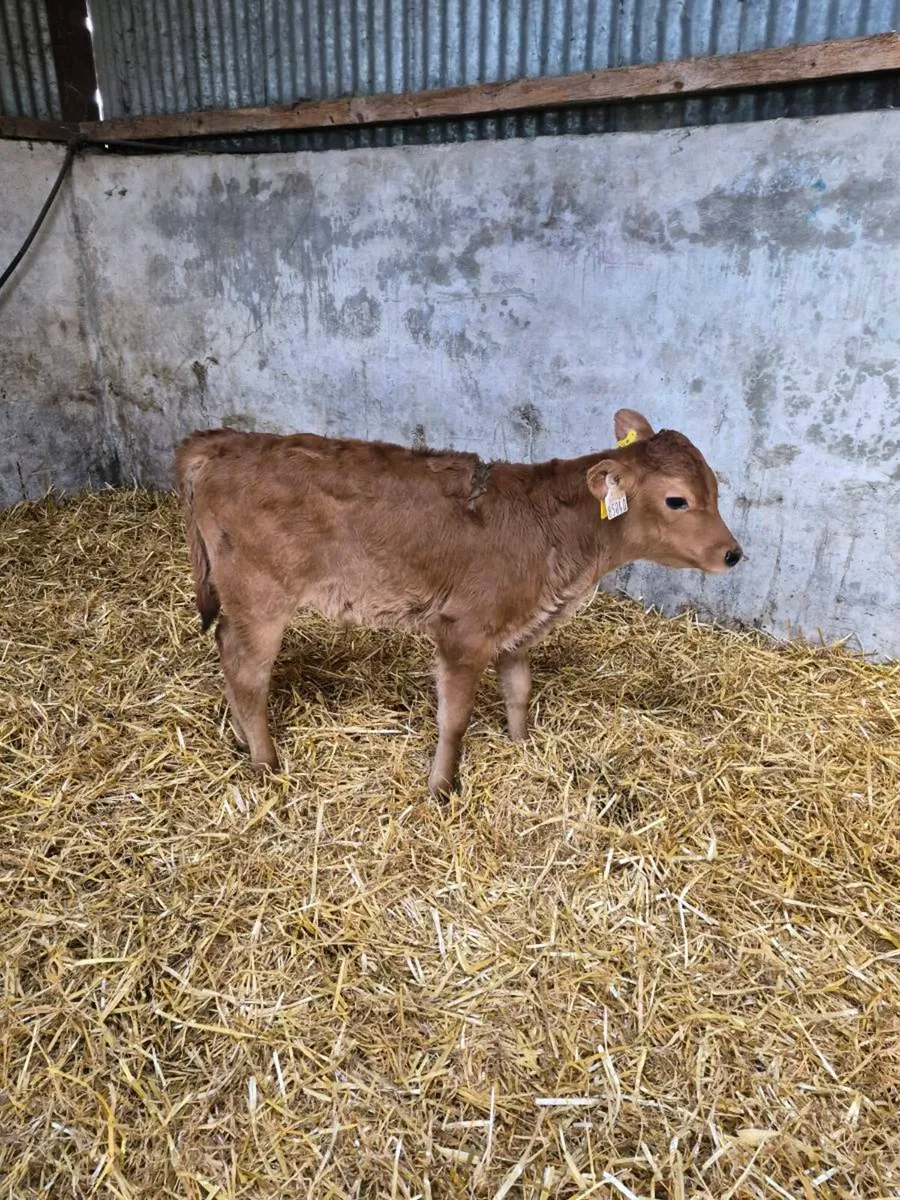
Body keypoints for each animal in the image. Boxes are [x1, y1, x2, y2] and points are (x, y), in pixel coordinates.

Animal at [176, 409, 742, 795]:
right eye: (677, 500)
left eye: (715, 488)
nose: (734, 553)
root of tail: (223, 442)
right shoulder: (463, 630)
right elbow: (455, 717)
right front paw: (442, 788)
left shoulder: (519, 628)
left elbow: (519, 691)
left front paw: (521, 746)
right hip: (261, 594)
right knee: (248, 675)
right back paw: (266, 764)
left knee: (225, 649)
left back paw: (242, 741)